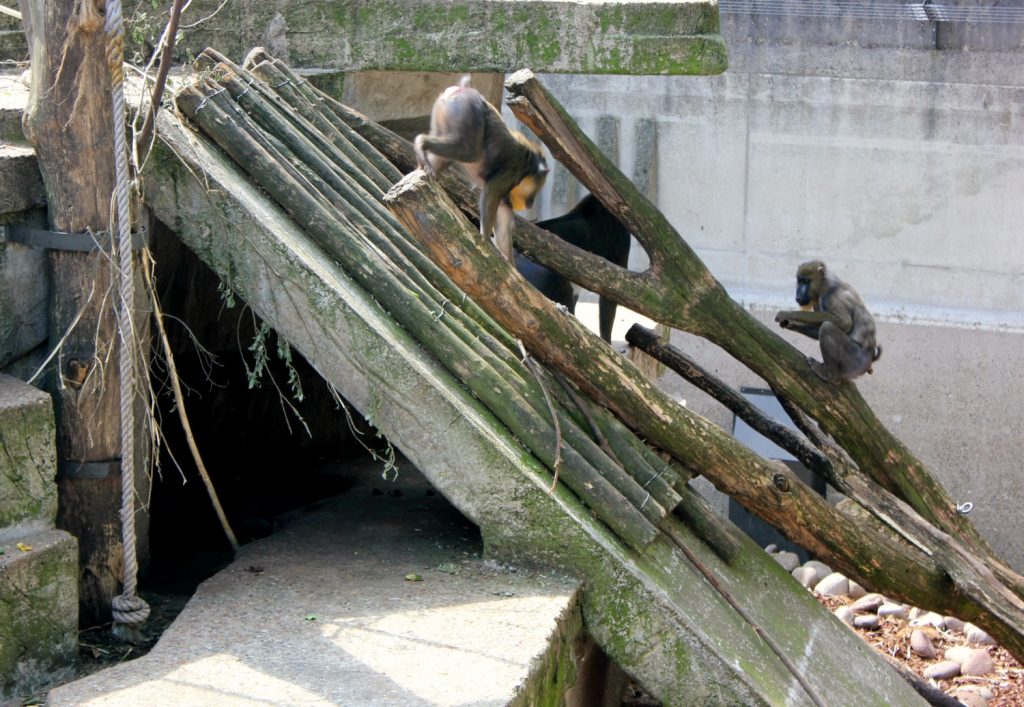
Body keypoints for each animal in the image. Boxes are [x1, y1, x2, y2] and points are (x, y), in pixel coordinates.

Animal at [414, 76, 549, 263]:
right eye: (536, 188)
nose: (531, 203)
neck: (529, 167)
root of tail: (464, 90)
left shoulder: (507, 200)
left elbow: (504, 228)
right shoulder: (511, 173)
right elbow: (490, 193)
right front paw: (485, 238)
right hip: (467, 112)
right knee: (468, 151)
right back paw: (421, 143)